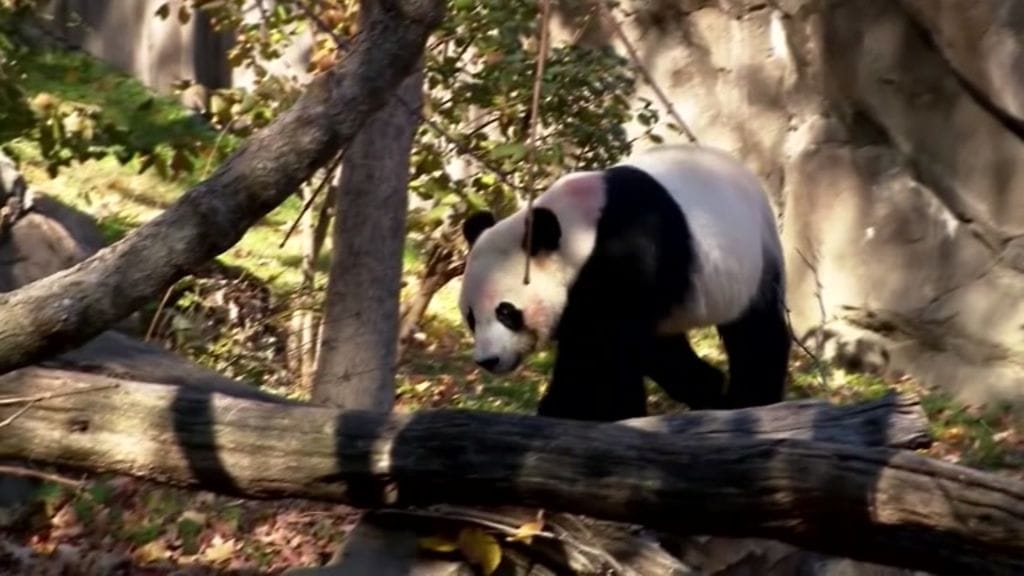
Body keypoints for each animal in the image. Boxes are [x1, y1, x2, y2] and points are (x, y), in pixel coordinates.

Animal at [458, 144, 790, 422]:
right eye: (471, 317)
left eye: (506, 312)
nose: (488, 360)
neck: (580, 233)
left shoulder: (628, 253)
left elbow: (604, 349)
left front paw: (585, 410)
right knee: (664, 350)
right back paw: (707, 390)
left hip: (752, 260)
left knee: (756, 334)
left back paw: (749, 399)